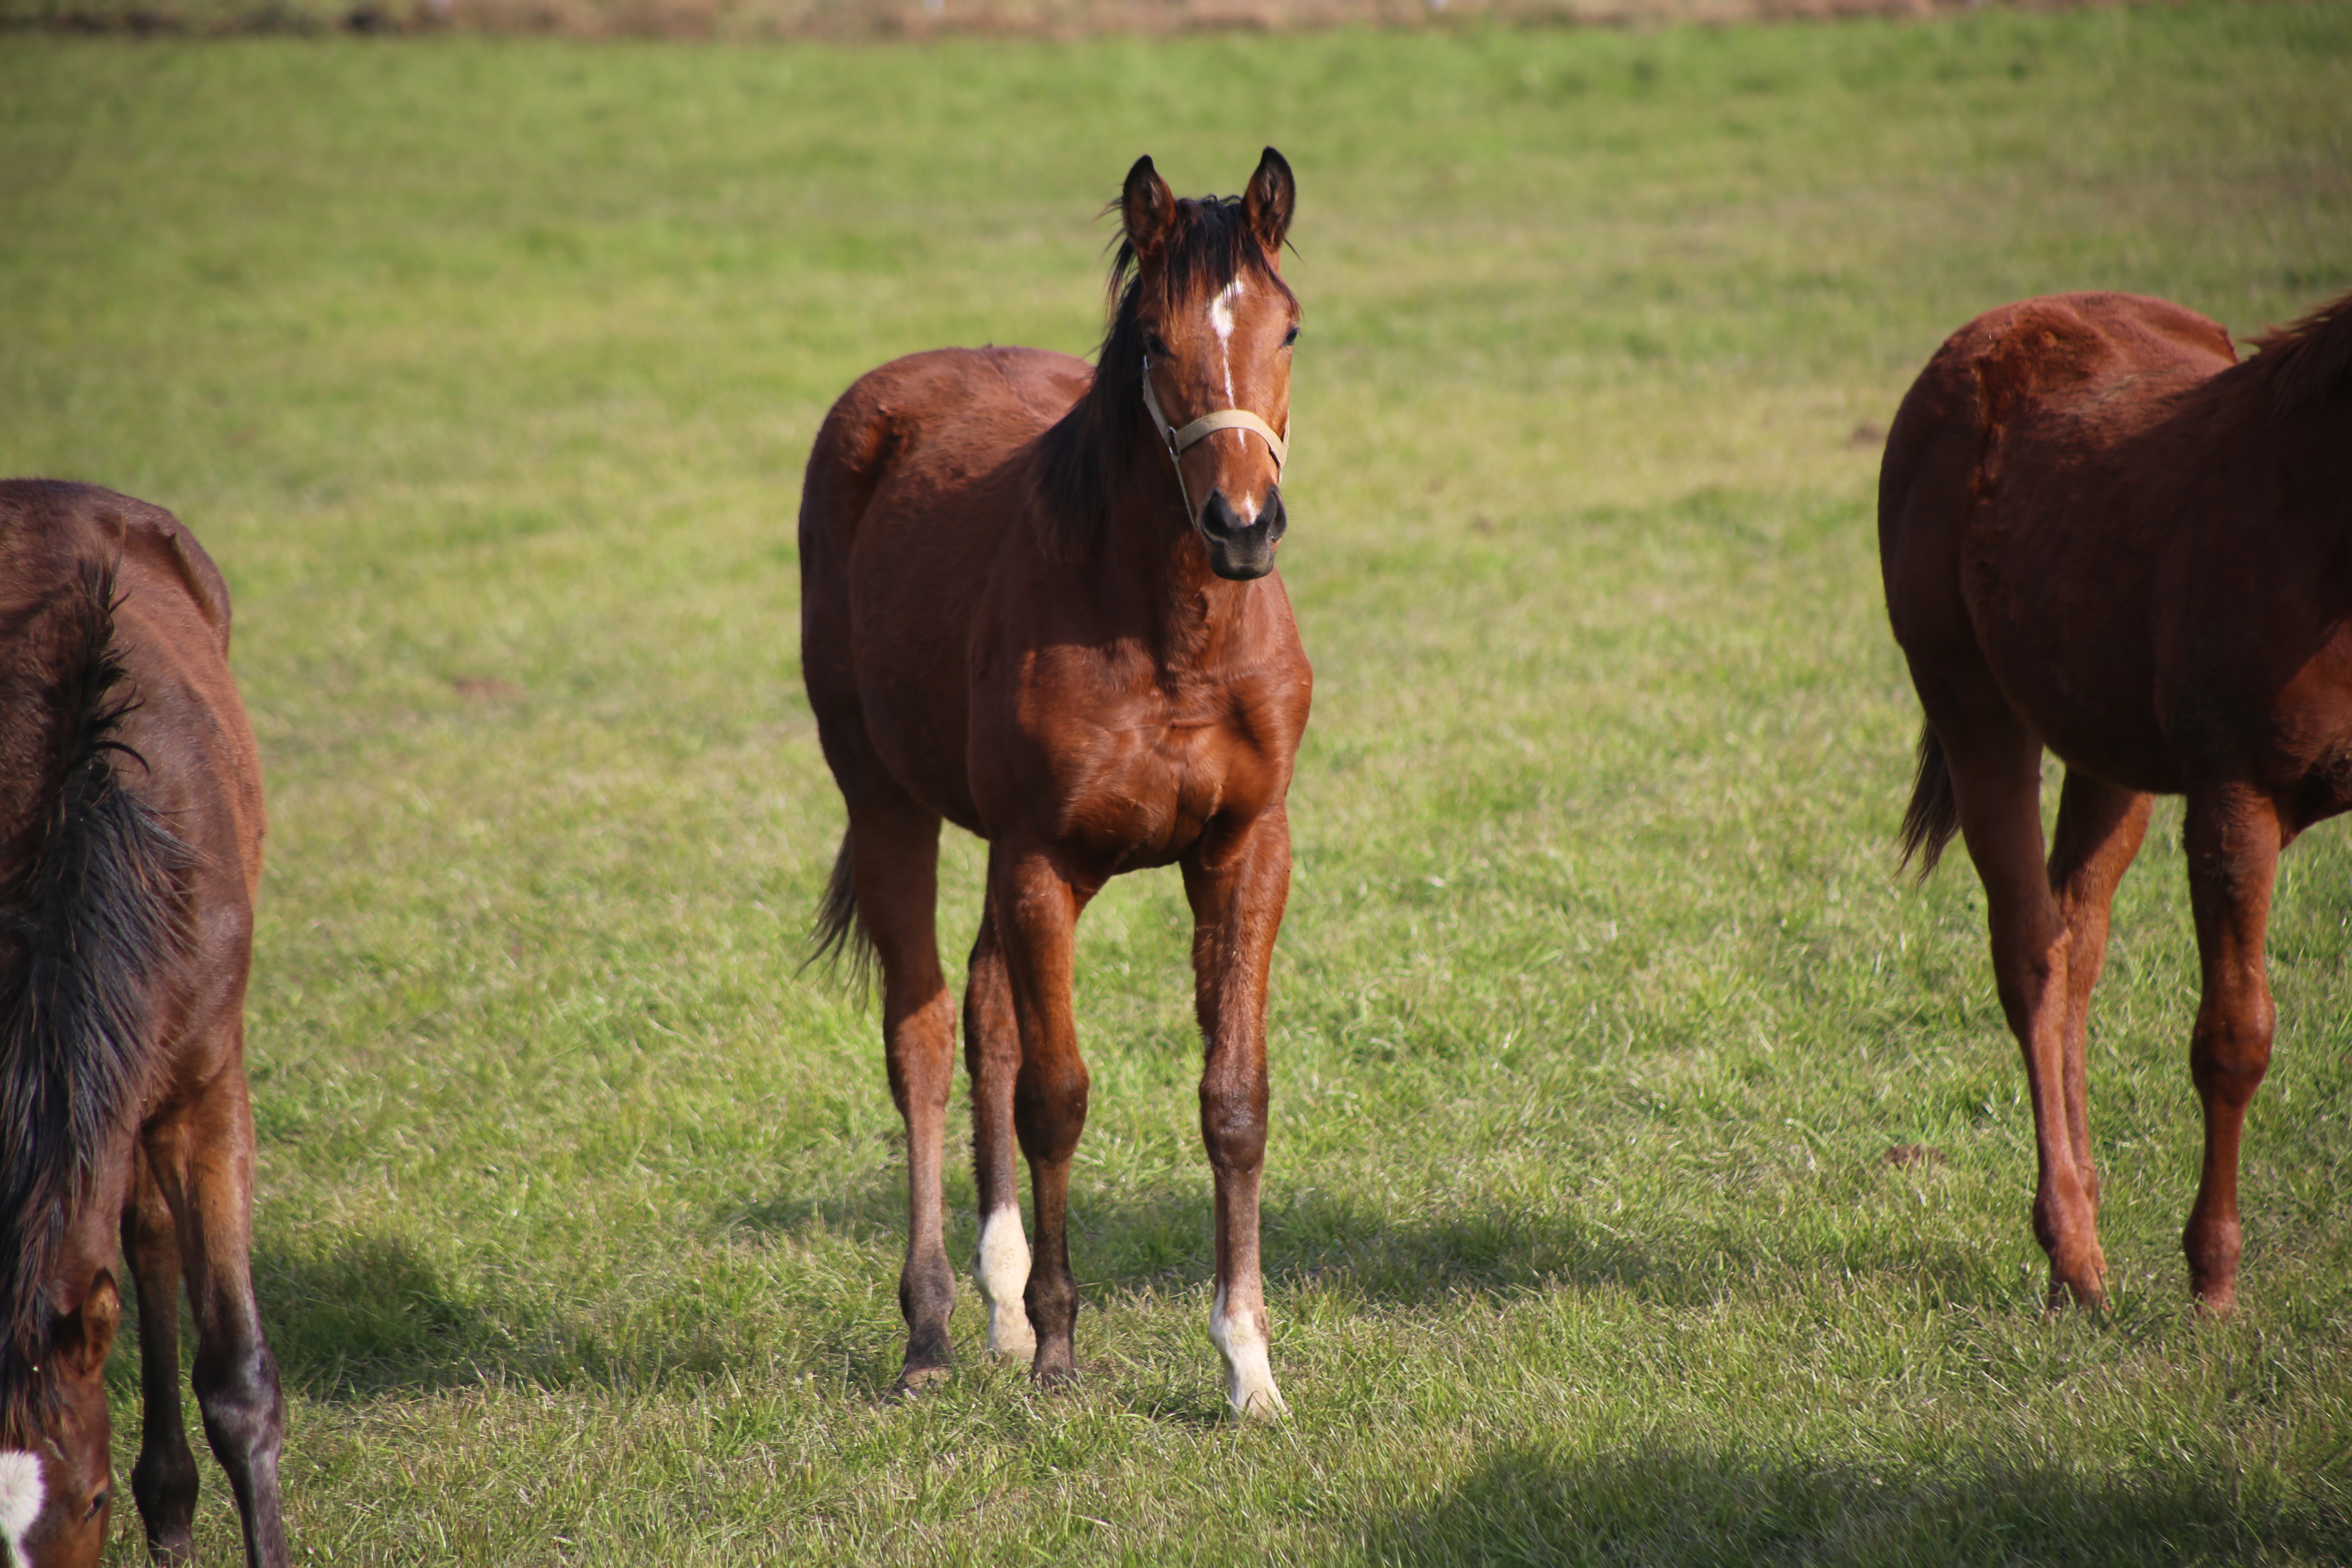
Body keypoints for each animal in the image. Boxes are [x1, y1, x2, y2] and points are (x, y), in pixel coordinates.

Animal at [790, 150, 1307, 1420]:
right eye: (1155, 342)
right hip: (888, 804)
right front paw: (1065, 1349)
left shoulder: (1245, 847)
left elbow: (1233, 1100)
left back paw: (999, 1307)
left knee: (981, 1010)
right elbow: (1057, 1095)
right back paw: (933, 1329)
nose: (1242, 527)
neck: (1170, 634)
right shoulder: (1041, 859)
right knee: (925, 1038)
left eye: (1288, 329)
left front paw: (1248, 1366)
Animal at [1882, 291, 2352, 1316]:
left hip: (2108, 752)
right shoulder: (2234, 797)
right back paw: (2074, 1258)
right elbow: (2232, 1034)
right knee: (2032, 952)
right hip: (1976, 709)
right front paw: (2212, 1284)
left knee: (2077, 941)